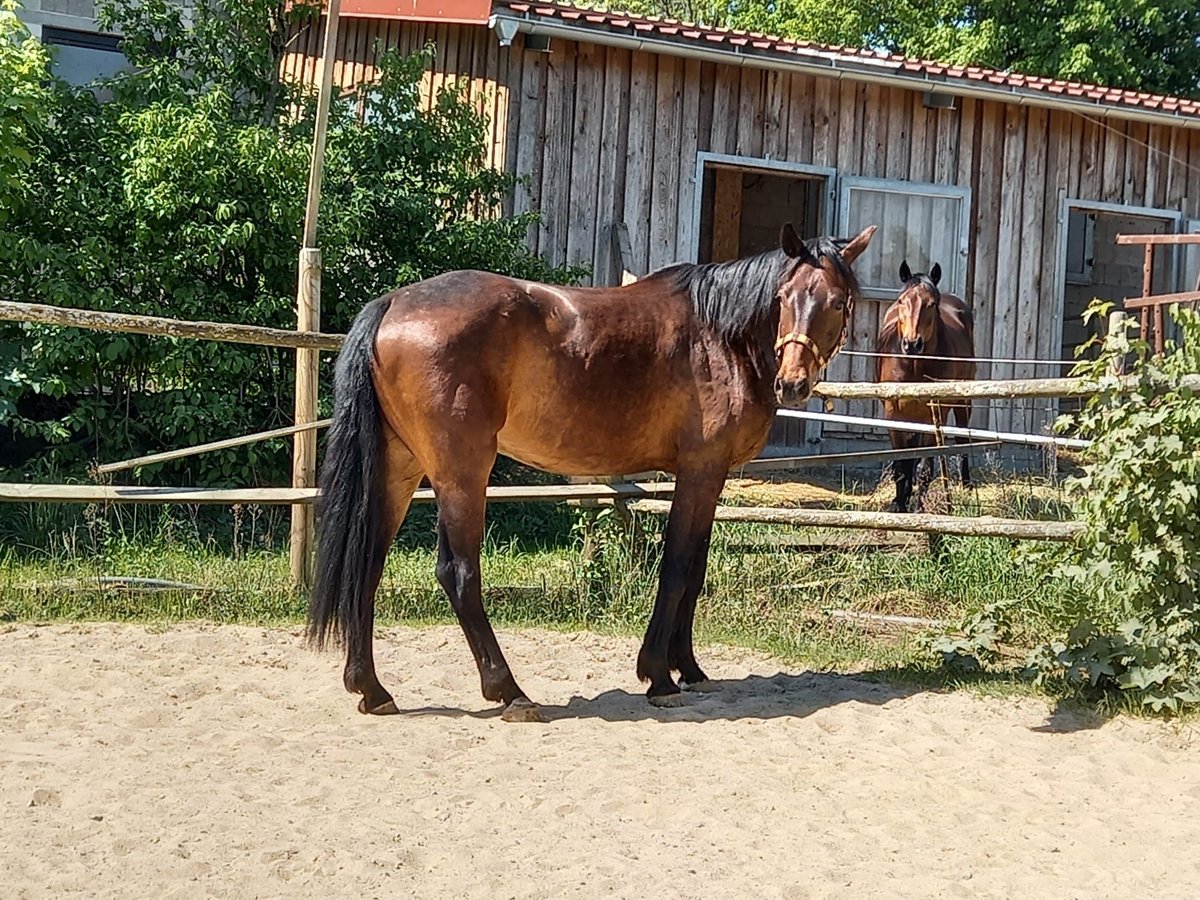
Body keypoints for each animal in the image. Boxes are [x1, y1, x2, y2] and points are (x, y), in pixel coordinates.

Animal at [307, 224, 873, 720]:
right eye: (784, 296)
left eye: (837, 302)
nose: (793, 383)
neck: (719, 336)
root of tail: (392, 305)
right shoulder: (698, 472)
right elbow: (676, 569)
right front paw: (658, 675)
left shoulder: (711, 480)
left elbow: (695, 571)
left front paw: (689, 668)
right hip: (461, 473)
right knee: (458, 573)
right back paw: (510, 692)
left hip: (401, 469)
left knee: (367, 564)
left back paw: (372, 689)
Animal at [878, 260, 979, 513]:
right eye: (902, 301)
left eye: (931, 304)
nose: (912, 344)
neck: (914, 365)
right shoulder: (893, 414)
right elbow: (902, 466)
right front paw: (900, 503)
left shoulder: (935, 413)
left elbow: (925, 466)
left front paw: (917, 508)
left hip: (961, 402)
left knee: (962, 438)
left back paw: (967, 486)